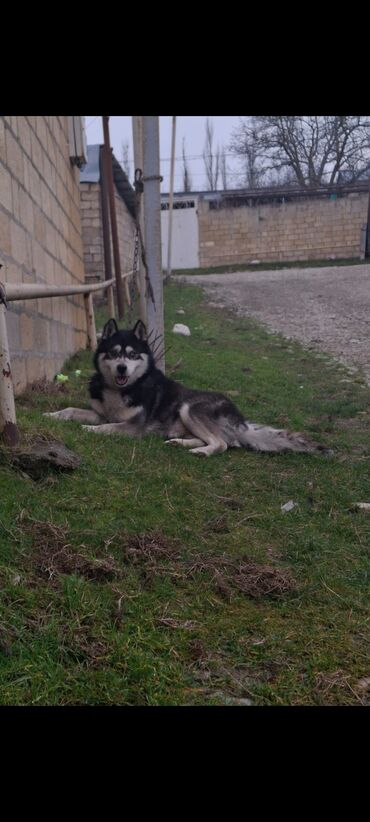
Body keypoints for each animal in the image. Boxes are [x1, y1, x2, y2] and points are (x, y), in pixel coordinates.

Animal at [45, 318, 326, 458]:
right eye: (114, 354)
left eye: (133, 354)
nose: (122, 368)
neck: (121, 390)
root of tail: (240, 419)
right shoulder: (99, 412)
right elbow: (71, 410)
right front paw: (51, 415)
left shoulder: (133, 426)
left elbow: (108, 427)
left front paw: (88, 429)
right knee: (219, 439)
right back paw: (179, 442)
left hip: (189, 408)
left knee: (222, 444)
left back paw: (201, 451)